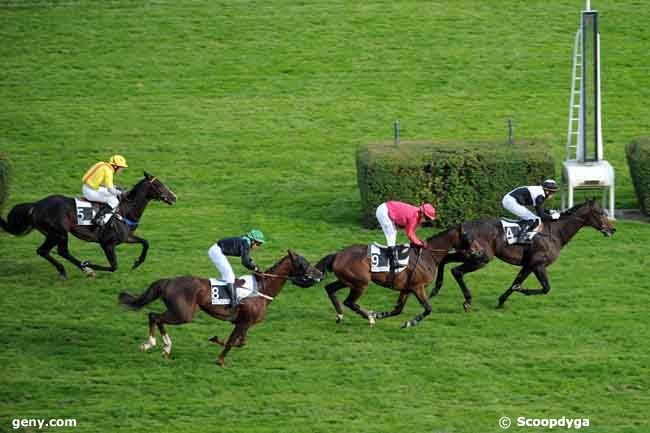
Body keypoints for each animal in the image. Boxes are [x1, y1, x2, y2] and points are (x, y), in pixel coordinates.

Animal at [0, 170, 175, 278]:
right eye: (159, 185)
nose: (174, 197)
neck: (125, 211)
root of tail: (36, 205)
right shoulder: (107, 243)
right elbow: (113, 266)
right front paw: (90, 264)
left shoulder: (126, 237)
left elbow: (146, 242)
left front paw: (138, 262)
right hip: (58, 232)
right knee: (48, 251)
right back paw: (80, 268)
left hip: (55, 234)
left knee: (57, 251)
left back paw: (80, 269)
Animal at [117, 251, 322, 366]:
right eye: (303, 262)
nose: (319, 273)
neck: (262, 289)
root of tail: (169, 281)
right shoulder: (244, 322)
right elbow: (232, 342)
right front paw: (220, 359)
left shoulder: (244, 323)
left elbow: (240, 342)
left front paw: (215, 340)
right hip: (184, 314)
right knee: (154, 316)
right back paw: (150, 344)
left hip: (179, 312)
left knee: (156, 317)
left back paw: (166, 348)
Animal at [316, 230, 464, 328]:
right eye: (467, 236)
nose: (471, 253)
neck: (427, 256)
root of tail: (337, 254)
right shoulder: (418, 287)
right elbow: (428, 308)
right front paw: (410, 322)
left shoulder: (407, 289)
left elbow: (398, 309)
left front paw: (380, 315)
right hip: (360, 283)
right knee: (349, 302)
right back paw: (369, 317)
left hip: (347, 281)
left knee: (329, 288)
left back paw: (340, 315)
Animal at [430, 199, 612, 308]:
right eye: (601, 213)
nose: (612, 229)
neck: (555, 233)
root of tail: (462, 226)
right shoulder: (538, 264)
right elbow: (545, 288)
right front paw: (522, 290)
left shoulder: (529, 265)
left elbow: (515, 282)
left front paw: (502, 301)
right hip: (481, 257)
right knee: (456, 271)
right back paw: (467, 300)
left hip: (469, 254)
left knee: (445, 259)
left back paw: (436, 288)